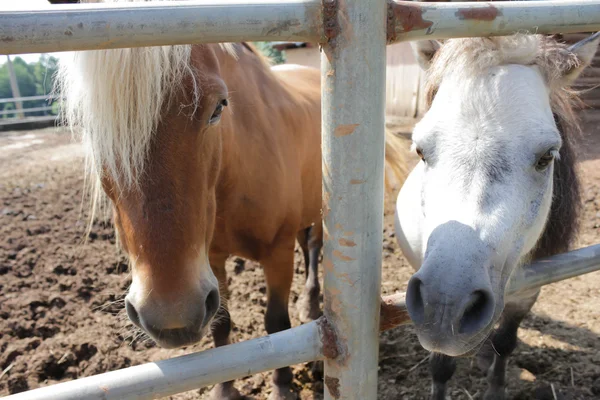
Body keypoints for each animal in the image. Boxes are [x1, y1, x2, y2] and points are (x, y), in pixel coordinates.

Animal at [55, 0, 408, 396]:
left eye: (218, 107)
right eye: (86, 124)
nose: (171, 315)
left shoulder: (277, 252)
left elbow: (276, 322)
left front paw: (281, 387)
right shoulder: (211, 258)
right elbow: (221, 325)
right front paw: (224, 390)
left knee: (314, 249)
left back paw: (310, 305)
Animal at [396, 32, 596, 400]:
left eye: (547, 156)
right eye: (420, 150)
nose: (446, 305)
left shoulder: (529, 292)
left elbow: (505, 342)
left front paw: (496, 385)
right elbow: (441, 365)